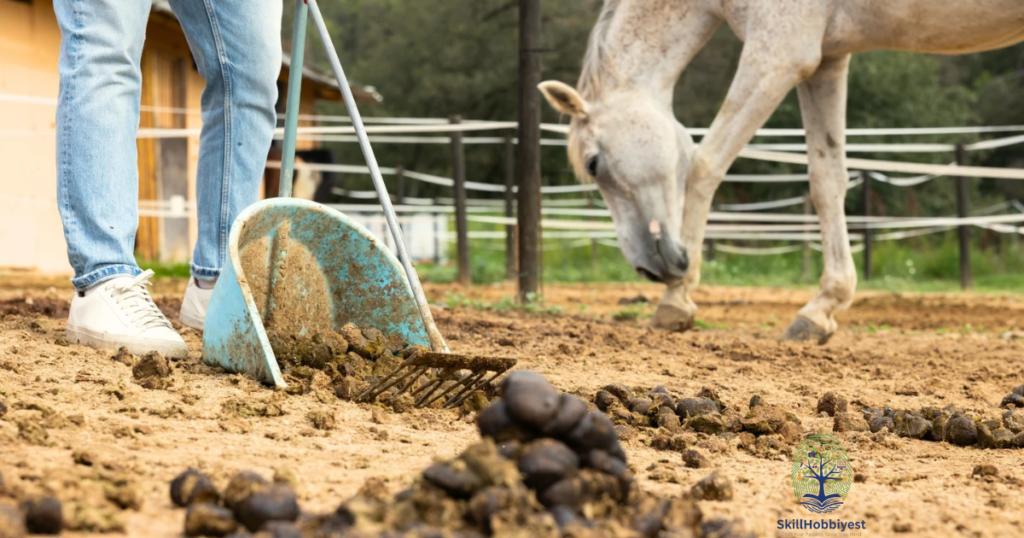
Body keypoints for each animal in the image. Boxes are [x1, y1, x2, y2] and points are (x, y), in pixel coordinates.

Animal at [539, 0, 1024, 343]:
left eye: (594, 164)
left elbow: (706, 163)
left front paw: (675, 301)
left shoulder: (777, 57)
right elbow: (826, 179)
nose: (650, 269)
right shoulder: (827, 60)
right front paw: (822, 309)